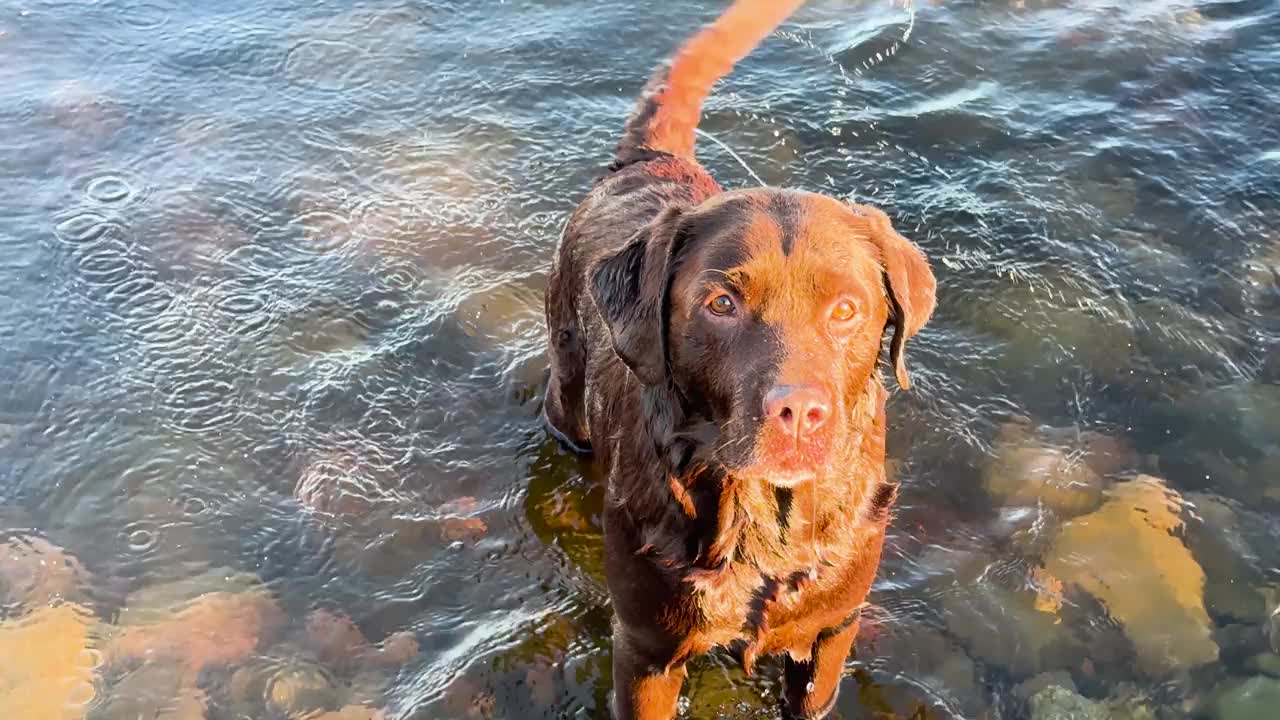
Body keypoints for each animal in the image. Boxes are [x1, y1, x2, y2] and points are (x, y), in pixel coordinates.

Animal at [535, 2, 936, 712]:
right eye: (721, 303)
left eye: (846, 310)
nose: (799, 413)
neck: (764, 521)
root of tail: (650, 159)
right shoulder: (645, 650)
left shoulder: (832, 630)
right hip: (567, 392)